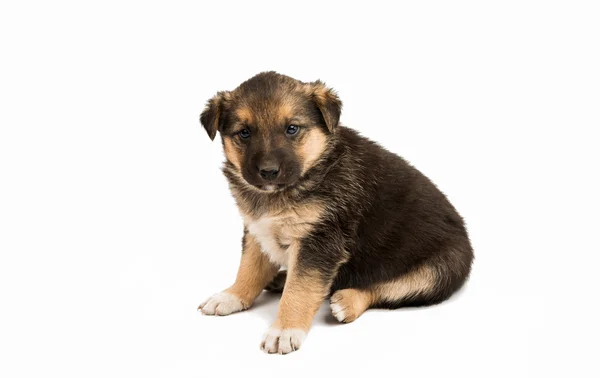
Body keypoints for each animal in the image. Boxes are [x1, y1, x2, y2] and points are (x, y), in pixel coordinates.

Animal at [197, 71, 474, 354]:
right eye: (244, 133)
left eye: (292, 129)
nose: (268, 171)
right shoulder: (257, 229)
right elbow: (248, 268)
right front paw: (232, 295)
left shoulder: (320, 240)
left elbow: (301, 288)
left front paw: (285, 329)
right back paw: (280, 277)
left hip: (438, 271)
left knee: (387, 289)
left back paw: (347, 301)